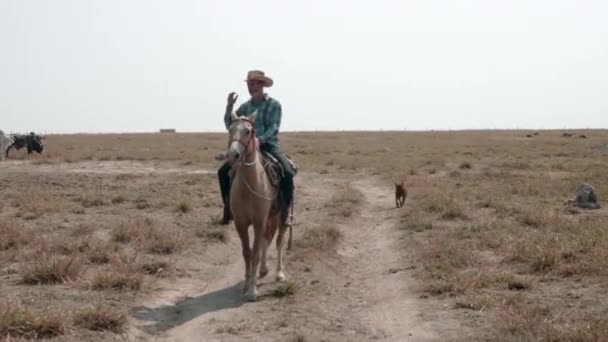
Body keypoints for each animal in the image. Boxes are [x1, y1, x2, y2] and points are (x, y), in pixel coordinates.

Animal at [224, 111, 290, 300]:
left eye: (248, 131)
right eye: (230, 129)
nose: (233, 155)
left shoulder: (259, 222)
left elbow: (255, 252)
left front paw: (253, 291)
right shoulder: (241, 223)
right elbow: (247, 252)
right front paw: (246, 284)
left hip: (281, 215)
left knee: (279, 240)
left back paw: (279, 273)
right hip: (271, 217)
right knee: (267, 240)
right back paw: (263, 269)